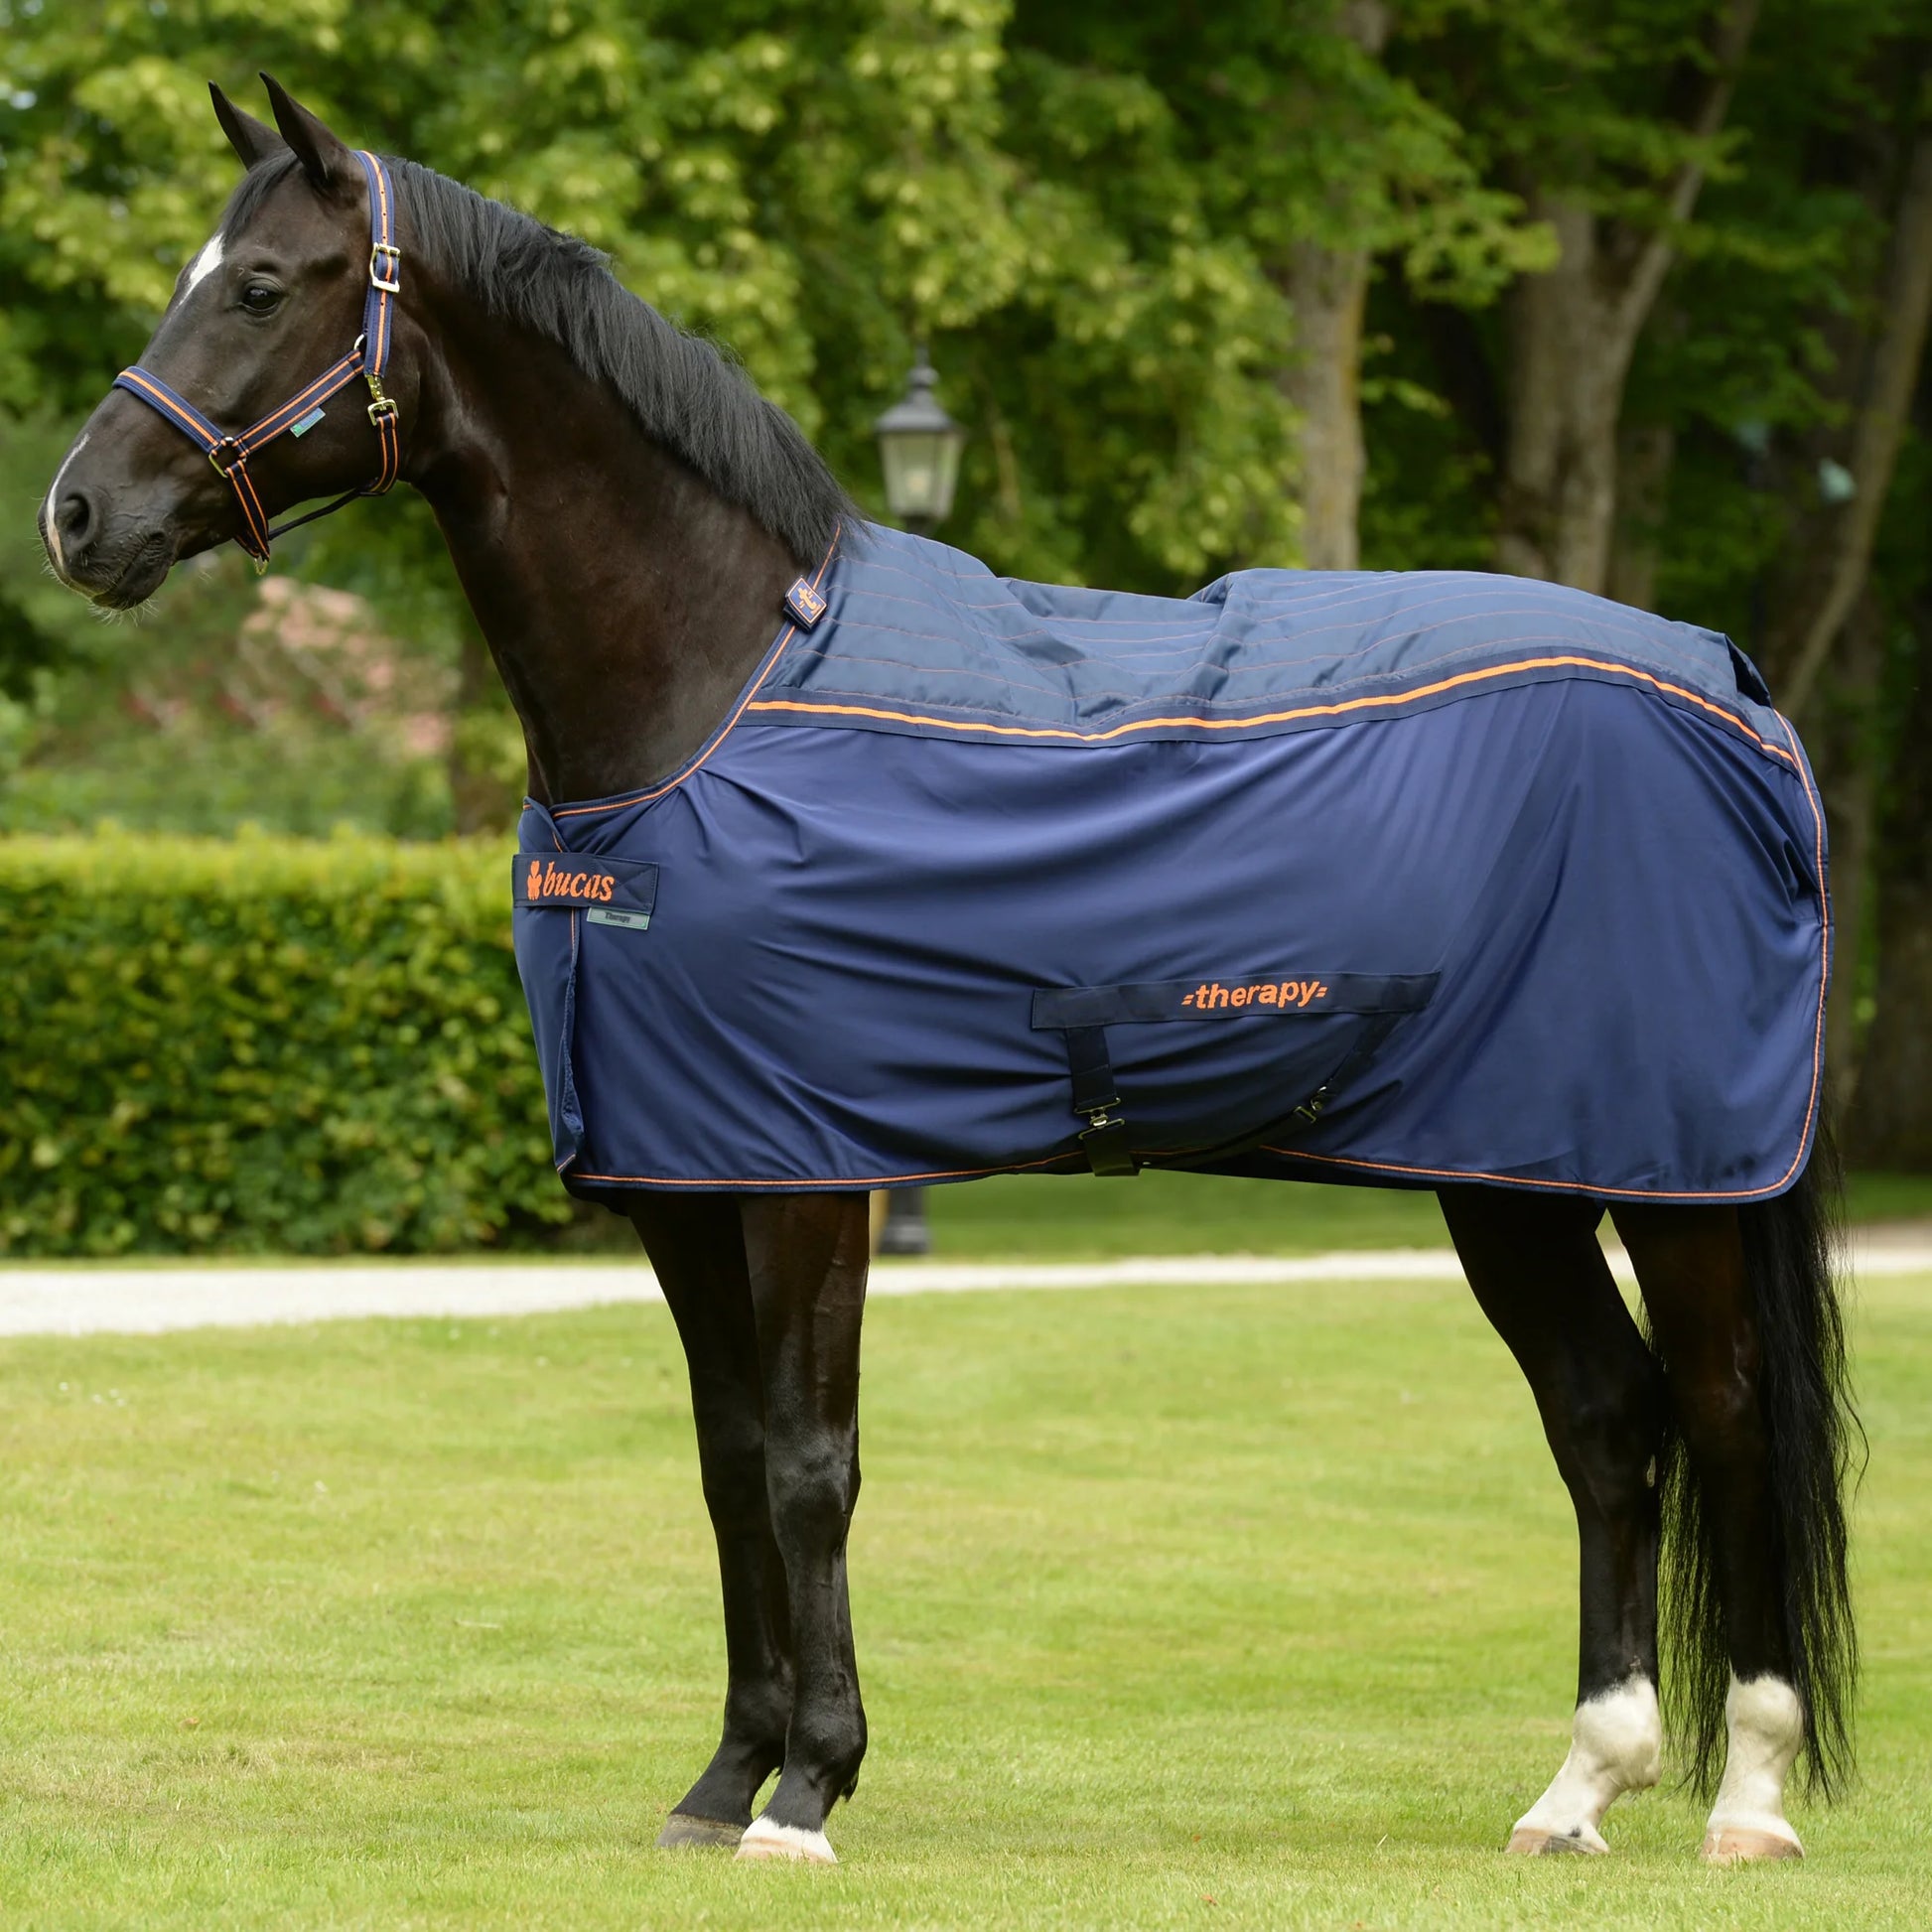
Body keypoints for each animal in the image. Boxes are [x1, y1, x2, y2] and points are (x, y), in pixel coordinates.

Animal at [40, 76, 1856, 1868]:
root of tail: (1732, 687)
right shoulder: (683, 1175)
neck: (706, 689)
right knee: (1607, 1423)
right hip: (1506, 1170)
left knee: (1726, 1416)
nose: (77, 514)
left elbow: (808, 1464)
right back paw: (1578, 1789)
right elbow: (725, 1461)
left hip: (1671, 1176)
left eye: (257, 286)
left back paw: (1748, 1797)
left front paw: (809, 1790)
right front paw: (722, 1779)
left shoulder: (807, 1172)